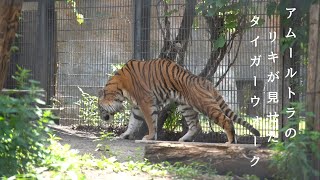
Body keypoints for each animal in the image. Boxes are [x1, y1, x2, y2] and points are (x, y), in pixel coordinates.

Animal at [98, 58, 260, 144]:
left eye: (100, 108)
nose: (102, 117)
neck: (119, 88)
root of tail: (204, 81)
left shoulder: (146, 102)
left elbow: (150, 122)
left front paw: (149, 137)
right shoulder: (138, 107)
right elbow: (133, 122)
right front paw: (125, 135)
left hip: (205, 105)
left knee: (226, 120)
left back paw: (230, 142)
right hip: (186, 107)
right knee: (196, 126)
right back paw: (182, 140)